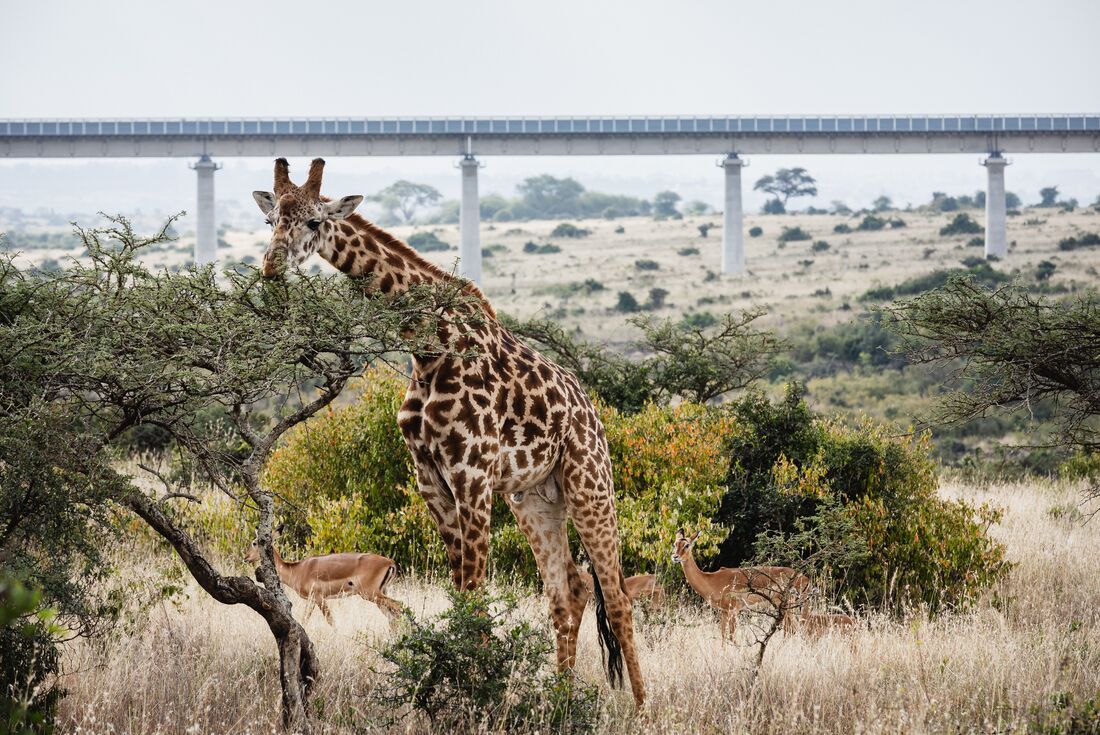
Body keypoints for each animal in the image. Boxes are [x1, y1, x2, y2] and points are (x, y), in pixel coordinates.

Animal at [252, 158, 646, 706]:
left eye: (314, 220)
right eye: (271, 220)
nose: (270, 269)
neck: (428, 347)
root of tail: (593, 414)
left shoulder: (472, 475)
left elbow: (475, 597)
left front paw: (480, 696)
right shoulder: (430, 479)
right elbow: (461, 594)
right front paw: (463, 691)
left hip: (590, 485)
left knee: (618, 596)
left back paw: (643, 708)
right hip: (535, 499)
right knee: (568, 593)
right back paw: (562, 701)